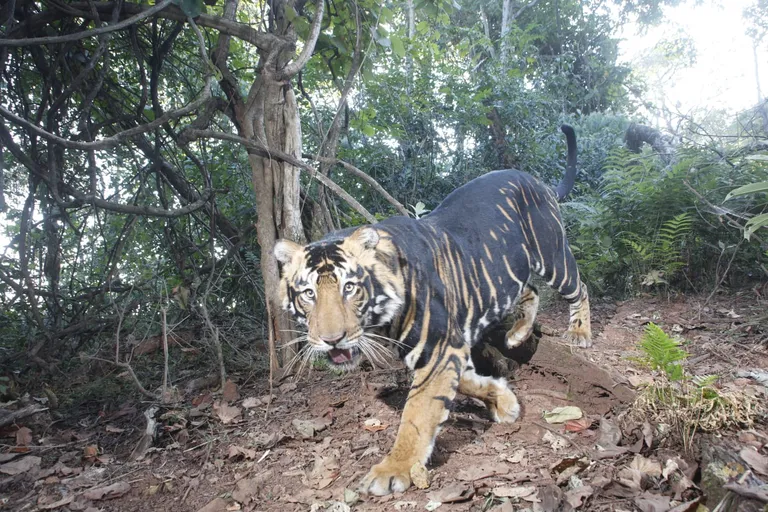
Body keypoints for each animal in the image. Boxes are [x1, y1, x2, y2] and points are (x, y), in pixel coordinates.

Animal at [273, 125, 591, 496]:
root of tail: (534, 179)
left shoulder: (439, 348)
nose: (331, 340)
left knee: (579, 287)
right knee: (530, 291)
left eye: (349, 288)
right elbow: (465, 382)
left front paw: (392, 469)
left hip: (553, 254)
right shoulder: (444, 349)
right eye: (308, 294)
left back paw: (580, 332)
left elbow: (417, 413)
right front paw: (503, 400)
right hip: (508, 269)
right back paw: (518, 334)